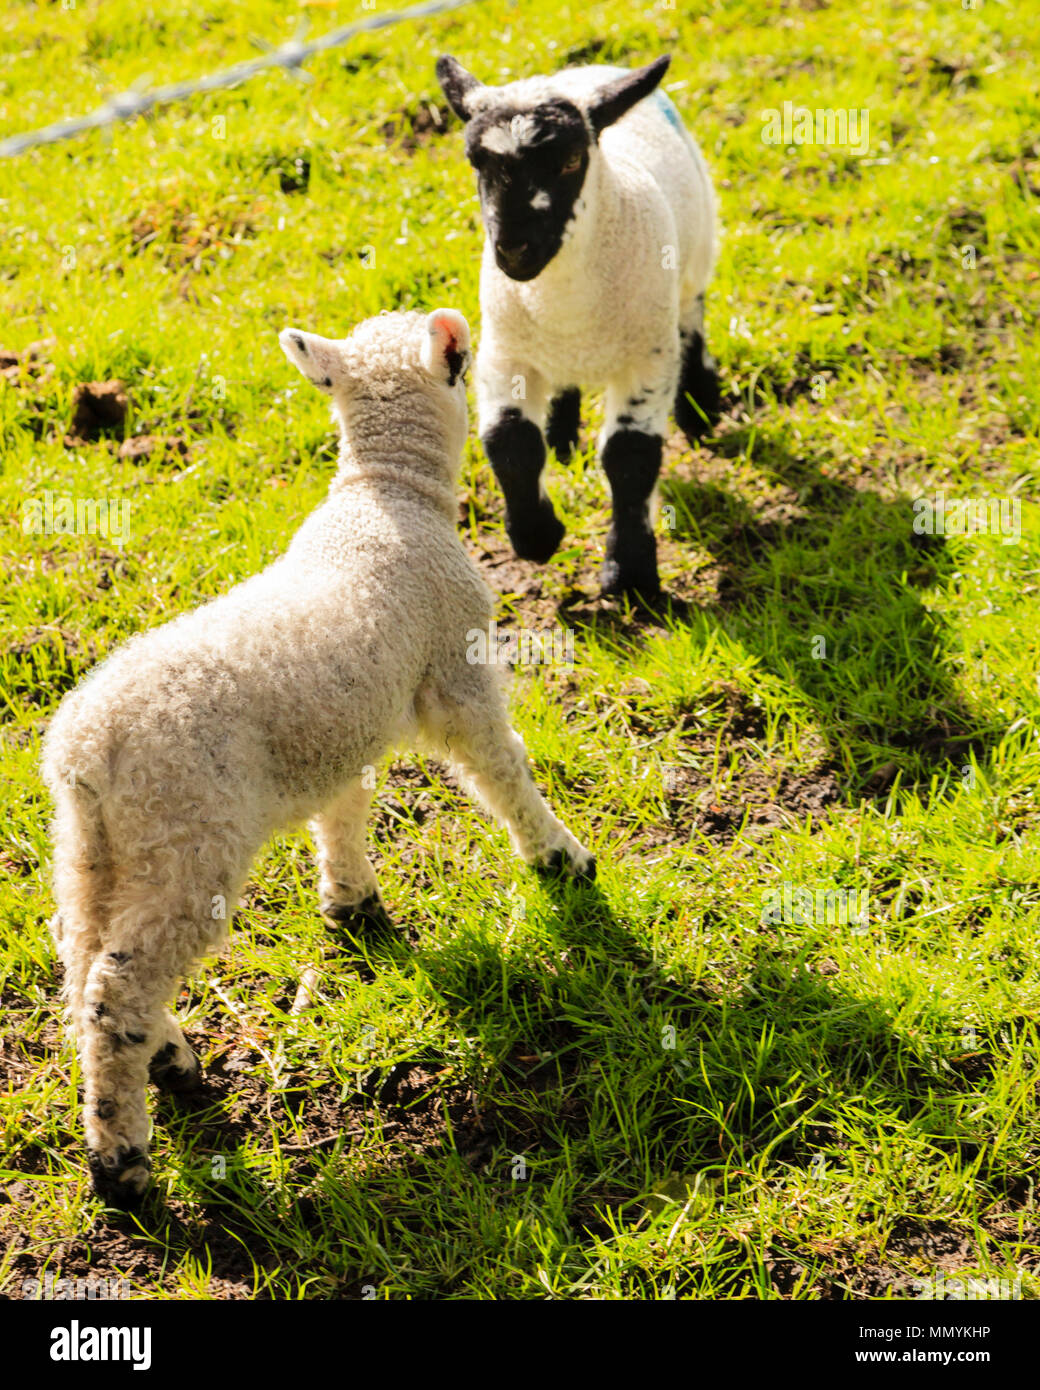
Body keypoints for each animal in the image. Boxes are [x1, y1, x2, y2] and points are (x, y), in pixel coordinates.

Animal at [41, 307, 594, 1208]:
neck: (386, 492)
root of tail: (83, 753)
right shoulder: (457, 668)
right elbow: (498, 766)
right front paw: (560, 856)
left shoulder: (343, 725)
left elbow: (342, 807)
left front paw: (350, 901)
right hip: (187, 832)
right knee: (115, 988)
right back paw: (122, 1158)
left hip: (98, 846)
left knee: (82, 950)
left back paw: (167, 1056)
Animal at [436, 52, 719, 599]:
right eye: (477, 163)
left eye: (570, 161)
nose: (513, 250)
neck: (566, 305)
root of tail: (593, 67)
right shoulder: (505, 354)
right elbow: (510, 444)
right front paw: (536, 537)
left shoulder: (647, 360)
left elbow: (630, 458)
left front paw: (629, 574)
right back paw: (562, 432)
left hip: (697, 250)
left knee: (692, 316)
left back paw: (700, 407)